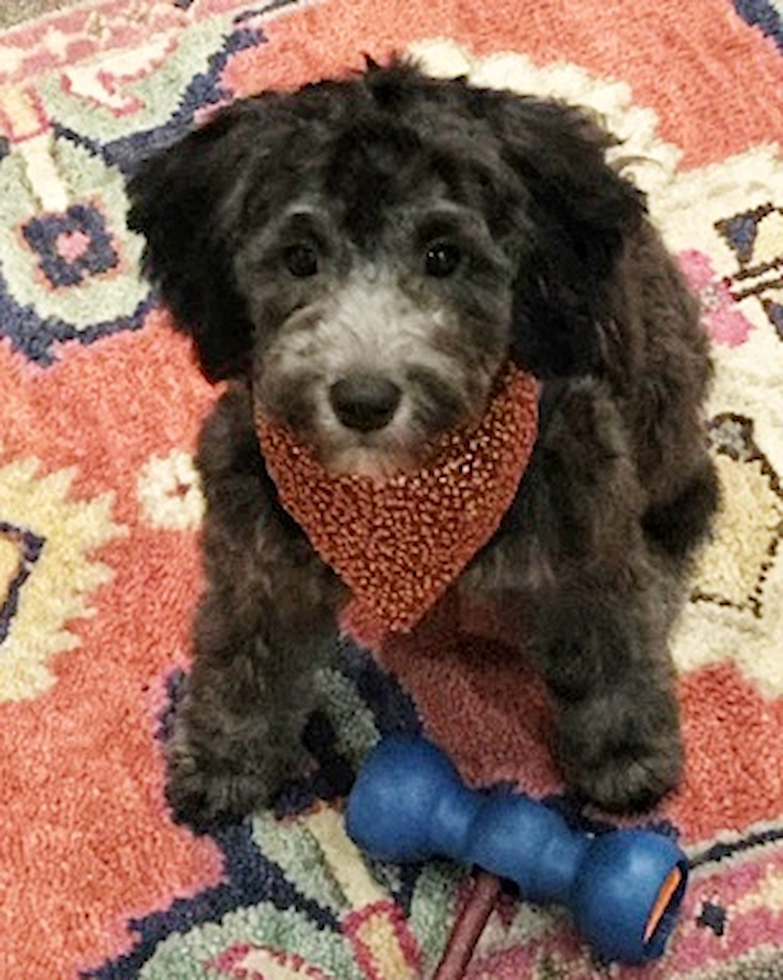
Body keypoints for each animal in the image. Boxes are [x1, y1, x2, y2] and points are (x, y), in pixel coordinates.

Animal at [127, 59, 716, 828]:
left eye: (443, 256)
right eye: (299, 258)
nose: (363, 401)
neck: (403, 494)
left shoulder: (586, 534)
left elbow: (610, 643)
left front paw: (625, 753)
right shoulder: (256, 550)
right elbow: (242, 652)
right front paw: (225, 756)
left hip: (660, 407)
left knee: (687, 505)